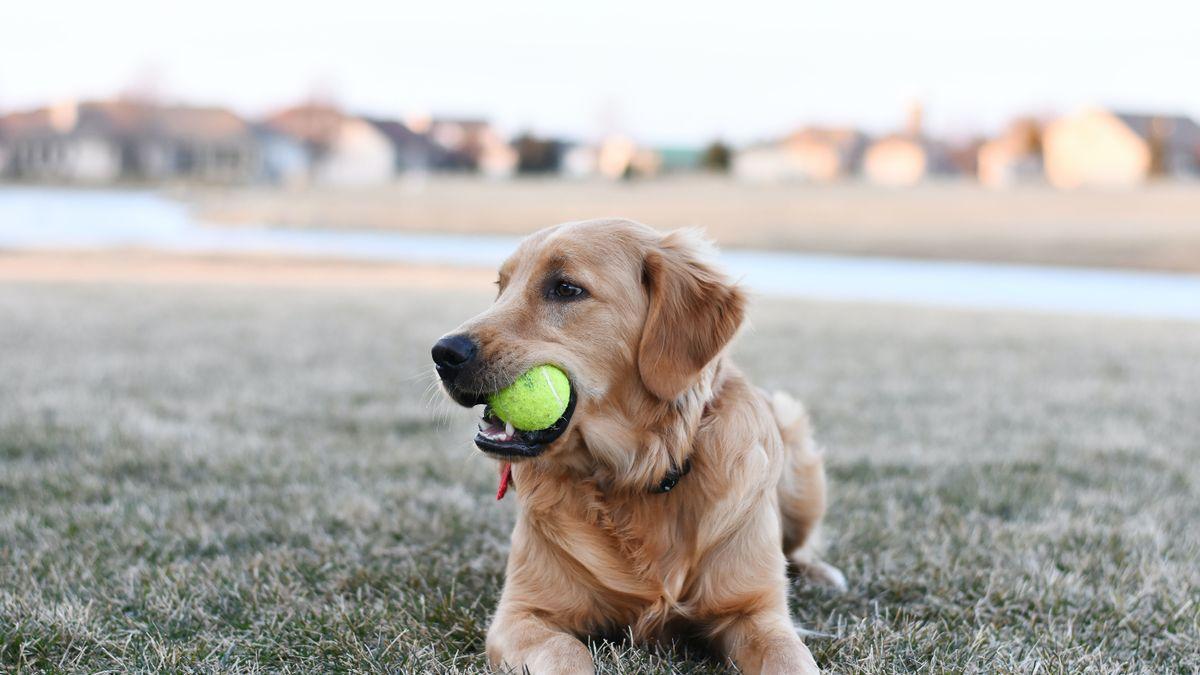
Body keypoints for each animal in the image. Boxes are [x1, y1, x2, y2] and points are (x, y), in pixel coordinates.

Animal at [434, 218, 844, 667]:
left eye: (566, 288)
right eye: (502, 286)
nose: (443, 353)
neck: (637, 474)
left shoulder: (756, 613)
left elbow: (791, 656)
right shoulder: (522, 614)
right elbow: (565, 651)